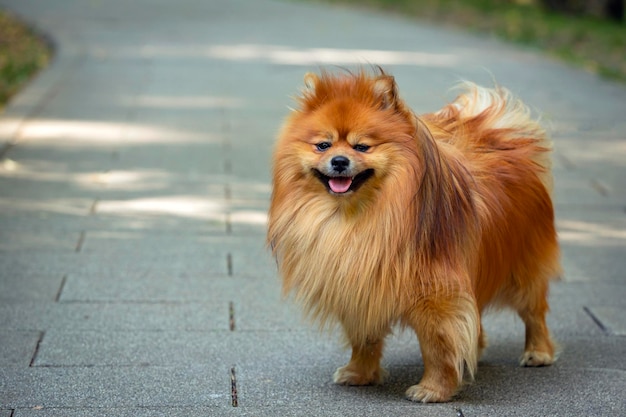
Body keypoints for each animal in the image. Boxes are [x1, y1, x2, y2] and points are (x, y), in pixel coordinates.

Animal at [266, 68, 560, 404]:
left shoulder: (436, 295)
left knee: (534, 313)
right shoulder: (359, 285)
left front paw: (434, 389)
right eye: (323, 145)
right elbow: (363, 337)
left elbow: (437, 346)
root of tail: (503, 138)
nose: (339, 161)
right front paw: (359, 374)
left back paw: (538, 352)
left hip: (523, 271)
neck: (357, 218)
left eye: (362, 147)